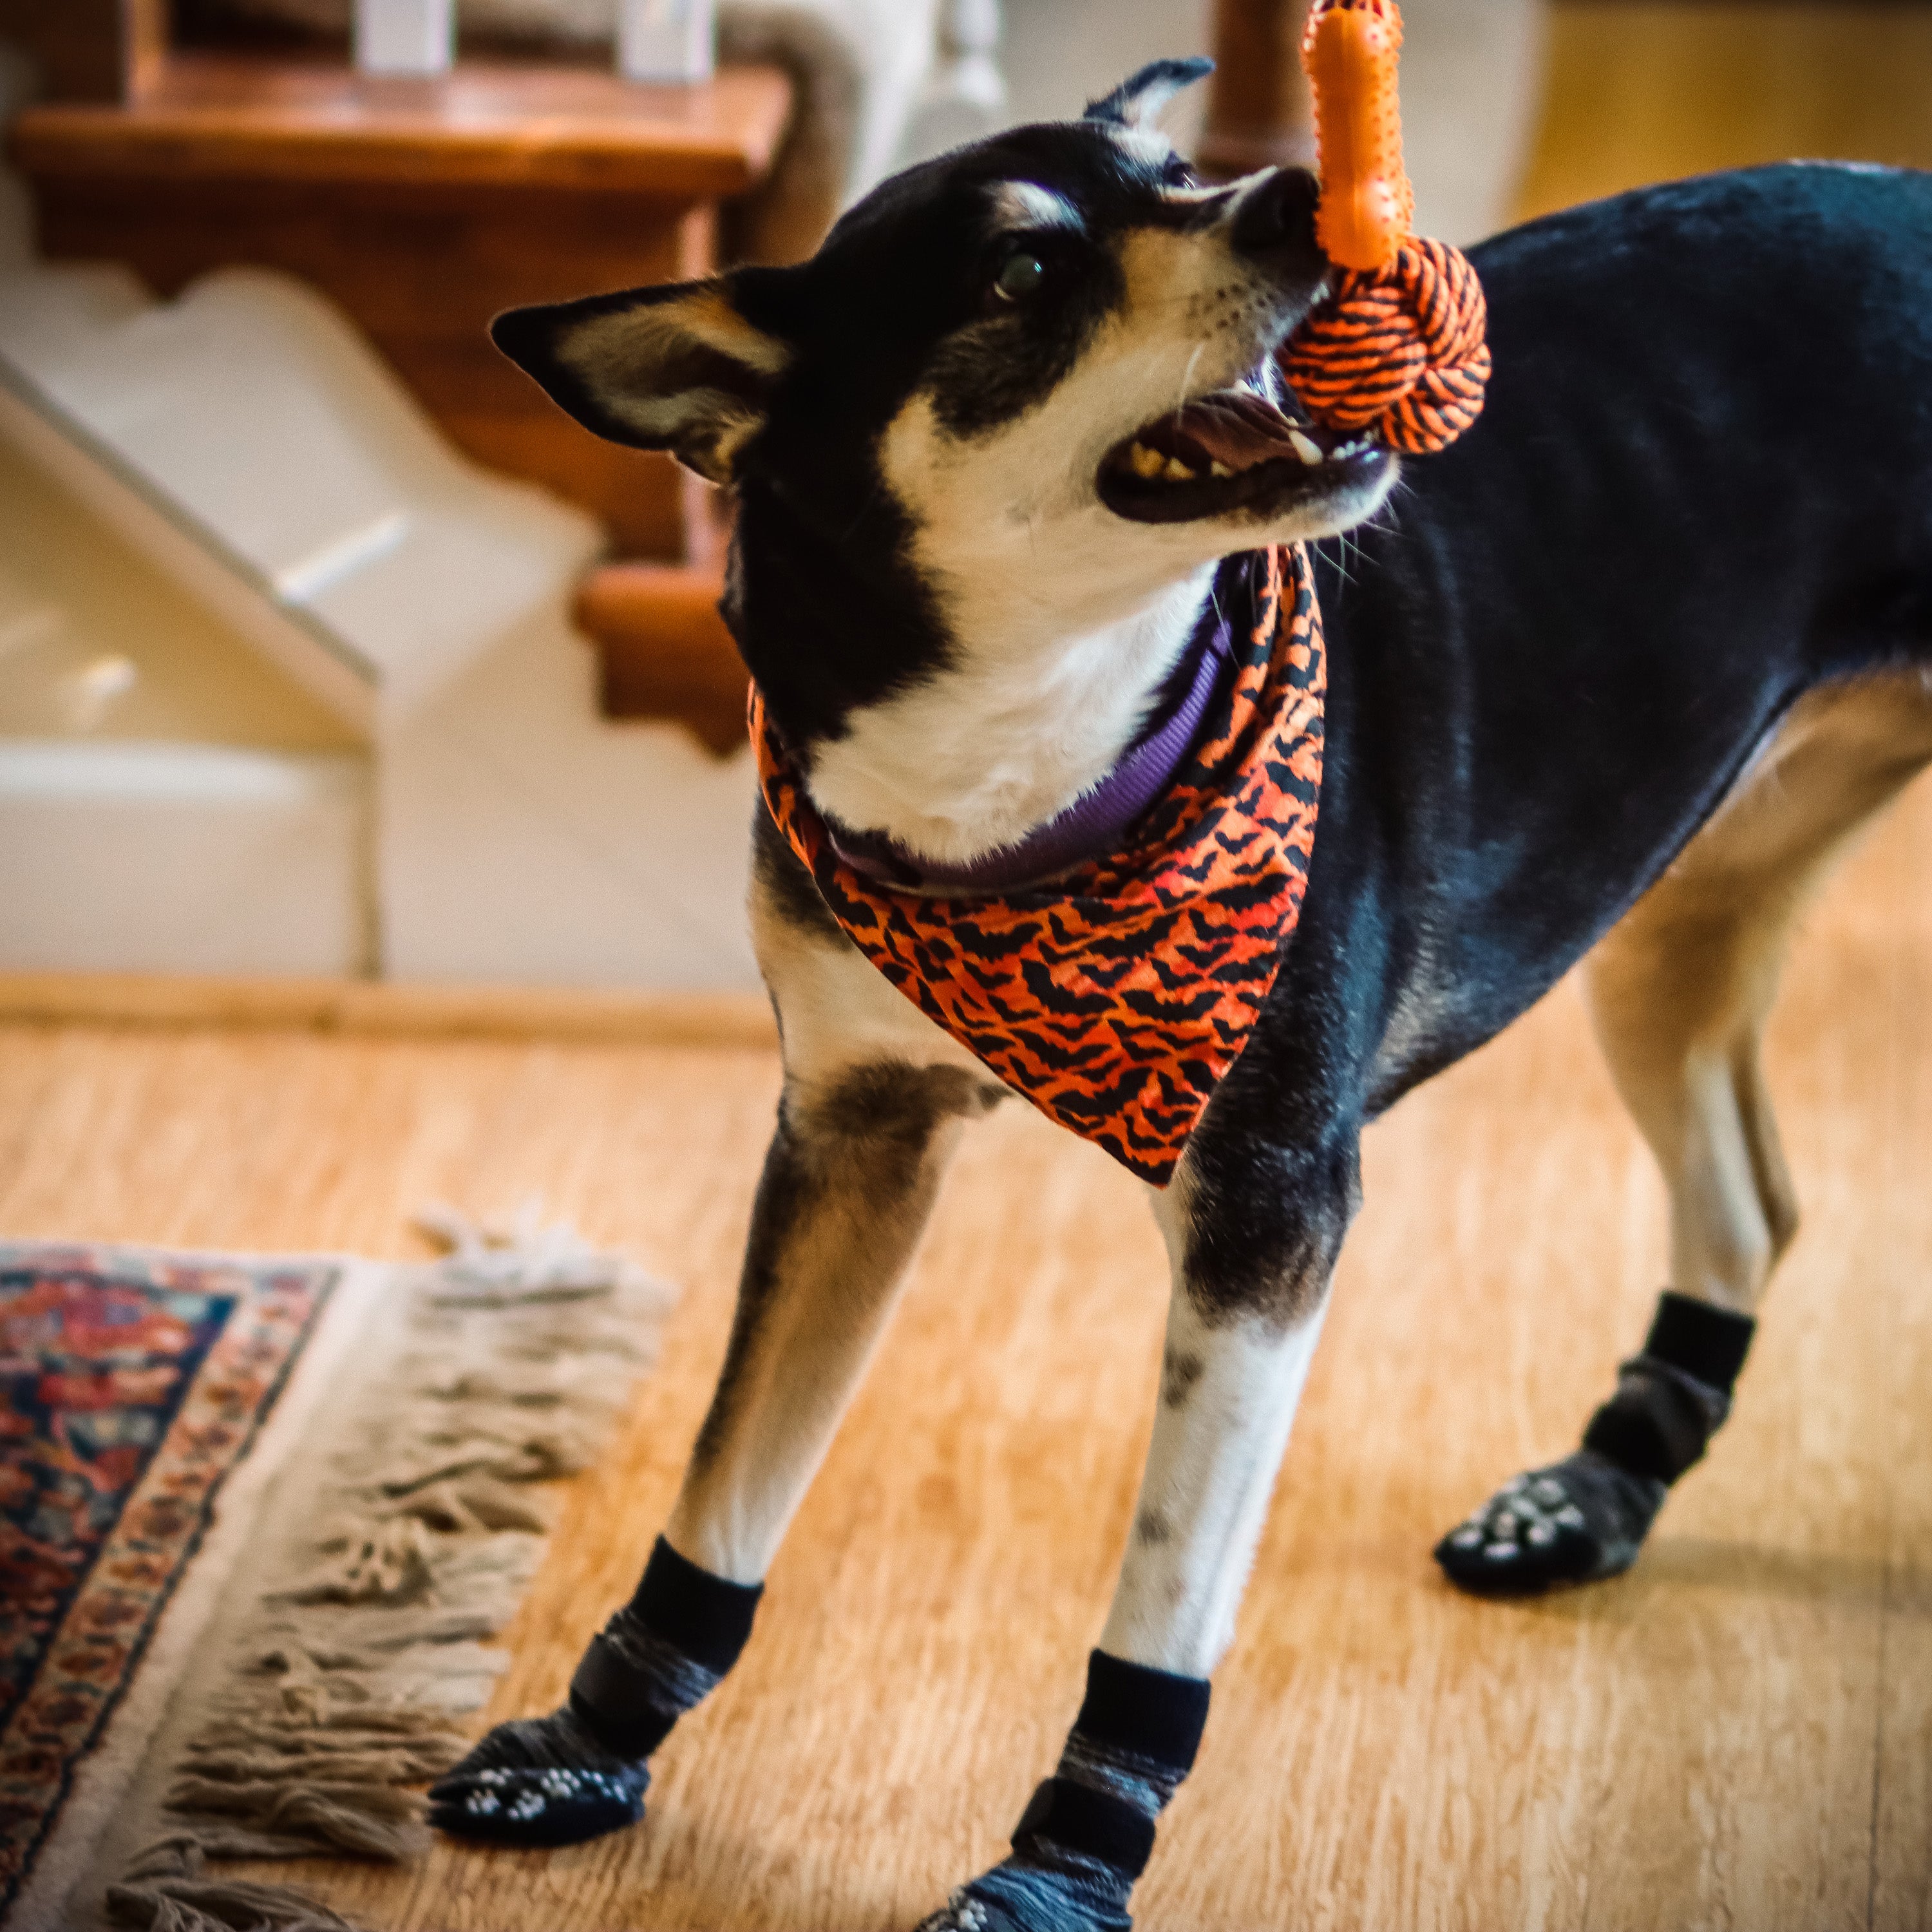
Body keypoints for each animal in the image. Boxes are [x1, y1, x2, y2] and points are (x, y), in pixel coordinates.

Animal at [427, 60, 1932, 1932]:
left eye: (1173, 168)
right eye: (1021, 274)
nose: (1306, 196)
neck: (1021, 766)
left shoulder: (1263, 1219)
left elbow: (1160, 1595)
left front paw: (1059, 1868)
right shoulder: (853, 1131)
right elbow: (726, 1479)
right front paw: (592, 1733)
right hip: (1676, 921)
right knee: (1751, 1202)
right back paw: (1592, 1492)